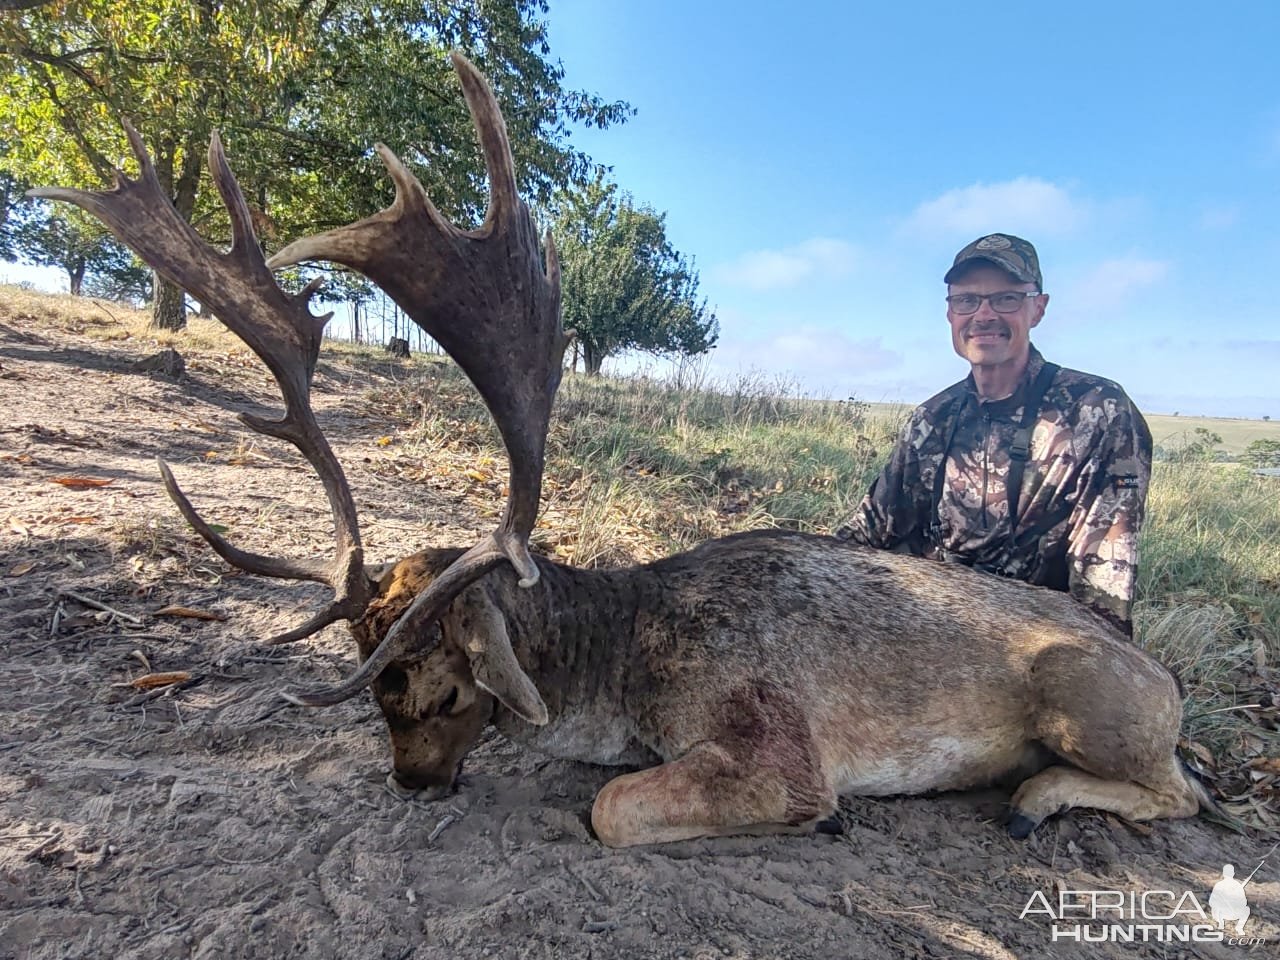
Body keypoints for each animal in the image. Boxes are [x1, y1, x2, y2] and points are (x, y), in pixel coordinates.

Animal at [27, 52, 1208, 849]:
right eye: (374, 697)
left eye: (446, 693)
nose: (413, 784)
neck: (627, 662)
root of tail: (1165, 681)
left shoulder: (782, 743)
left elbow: (609, 807)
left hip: (1085, 696)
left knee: (1183, 788)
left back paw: (1036, 795)